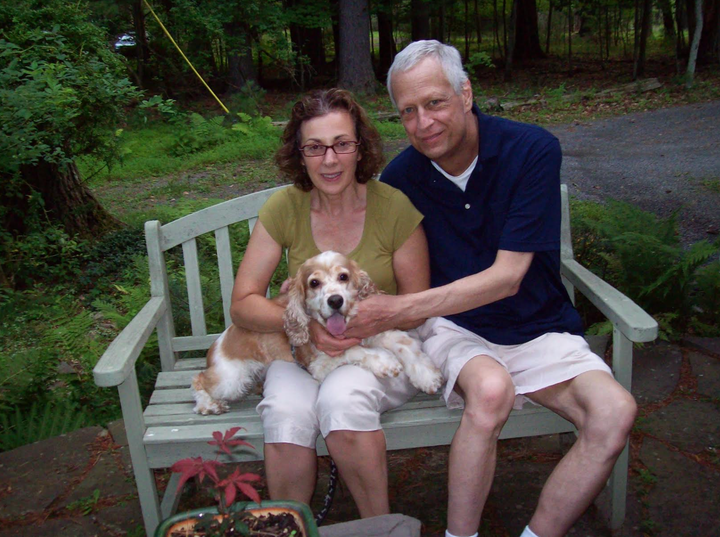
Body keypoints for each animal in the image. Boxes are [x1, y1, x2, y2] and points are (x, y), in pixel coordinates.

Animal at [190, 251, 444, 414]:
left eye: (343, 277)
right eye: (314, 283)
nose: (335, 300)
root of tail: (216, 345)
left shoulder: (376, 330)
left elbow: (403, 343)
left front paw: (427, 376)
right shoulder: (319, 363)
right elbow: (355, 350)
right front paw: (385, 363)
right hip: (232, 378)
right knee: (199, 380)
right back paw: (209, 405)